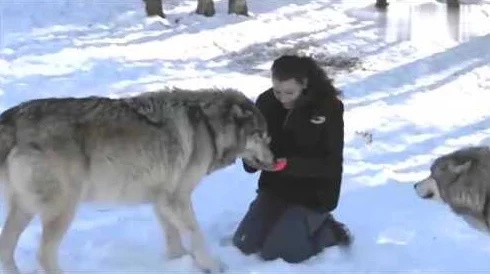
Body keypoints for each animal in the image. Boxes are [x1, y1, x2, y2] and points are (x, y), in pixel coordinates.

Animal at [0, 88, 276, 274]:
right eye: (261, 136)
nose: (275, 158)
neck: (209, 128)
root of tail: (11, 118)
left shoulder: (162, 200)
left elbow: (173, 235)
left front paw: (178, 261)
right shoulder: (176, 199)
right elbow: (195, 234)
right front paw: (211, 265)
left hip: (25, 209)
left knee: (6, 248)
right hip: (63, 209)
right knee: (43, 256)